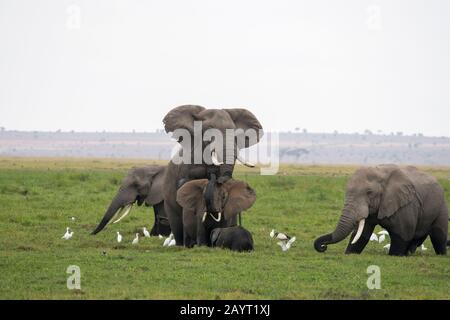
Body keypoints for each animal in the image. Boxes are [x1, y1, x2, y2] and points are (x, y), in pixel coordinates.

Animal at [163, 105, 264, 248]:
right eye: (209, 130)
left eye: (234, 131)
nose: (216, 178)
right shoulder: (187, 166)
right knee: (176, 223)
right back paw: (181, 245)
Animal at [314, 164, 448, 256]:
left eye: (369, 193)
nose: (323, 246)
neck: (379, 171)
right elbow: (362, 234)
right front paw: (350, 253)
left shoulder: (406, 206)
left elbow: (402, 235)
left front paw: (396, 256)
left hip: (441, 206)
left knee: (439, 237)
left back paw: (441, 255)